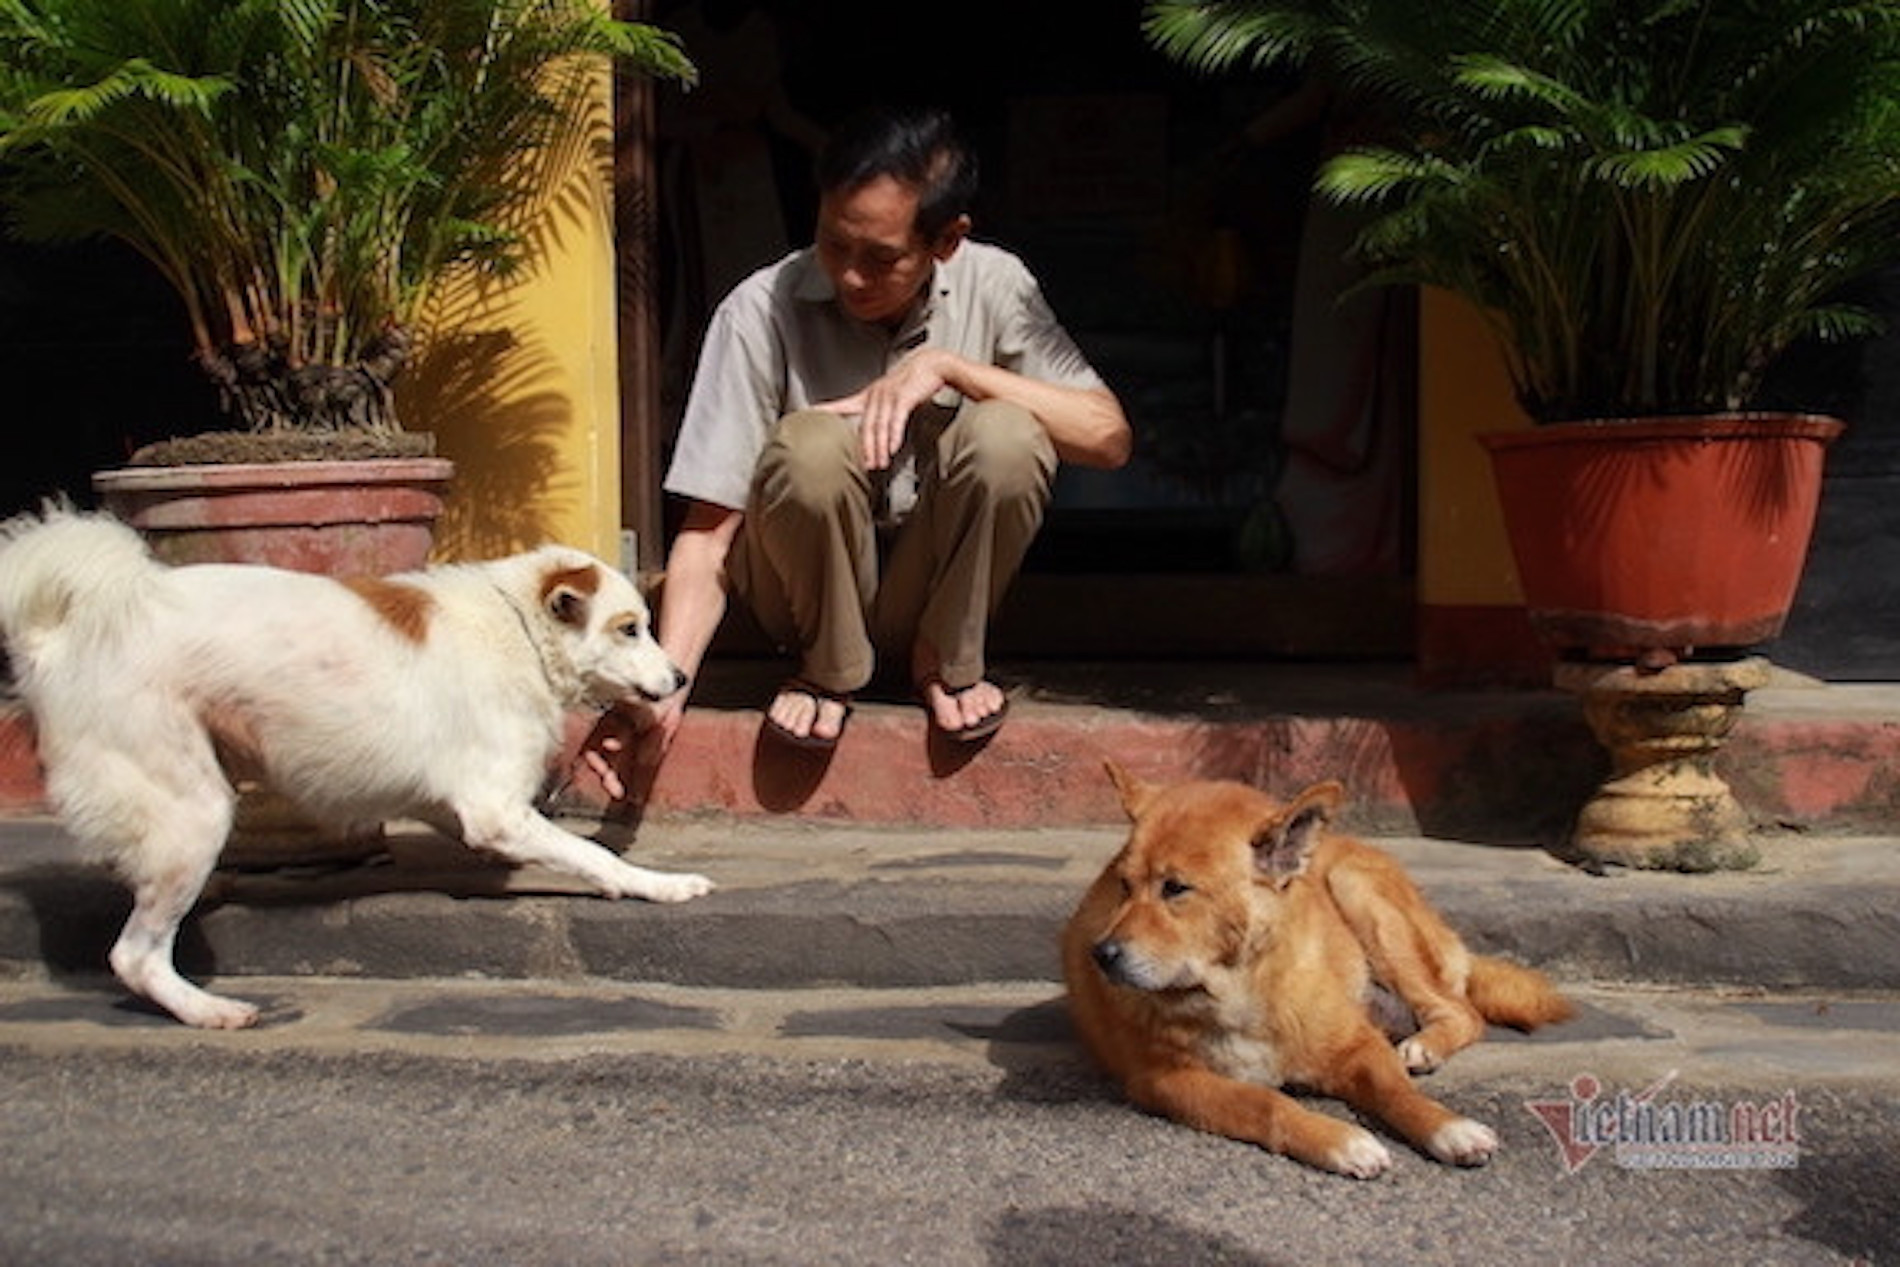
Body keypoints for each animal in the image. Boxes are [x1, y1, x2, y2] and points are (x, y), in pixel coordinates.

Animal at [0, 505, 714, 1033]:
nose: (682, 677)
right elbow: (593, 854)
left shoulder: (456, 806)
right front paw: (657, 884)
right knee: (135, 955)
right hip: (192, 811)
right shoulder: (494, 810)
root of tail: (59, 641)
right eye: (629, 629)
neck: (518, 628)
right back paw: (210, 1009)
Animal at [1071, 767, 1573, 1185]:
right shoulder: (1166, 1080)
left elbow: (1396, 1090)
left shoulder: (1359, 1044)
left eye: (1175, 888)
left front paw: (1448, 1127)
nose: (1102, 954)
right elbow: (1268, 1103)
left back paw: (1425, 1044)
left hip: (1362, 896)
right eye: (1124, 885)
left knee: (1461, 1010)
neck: (1240, 992)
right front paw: (1342, 1140)